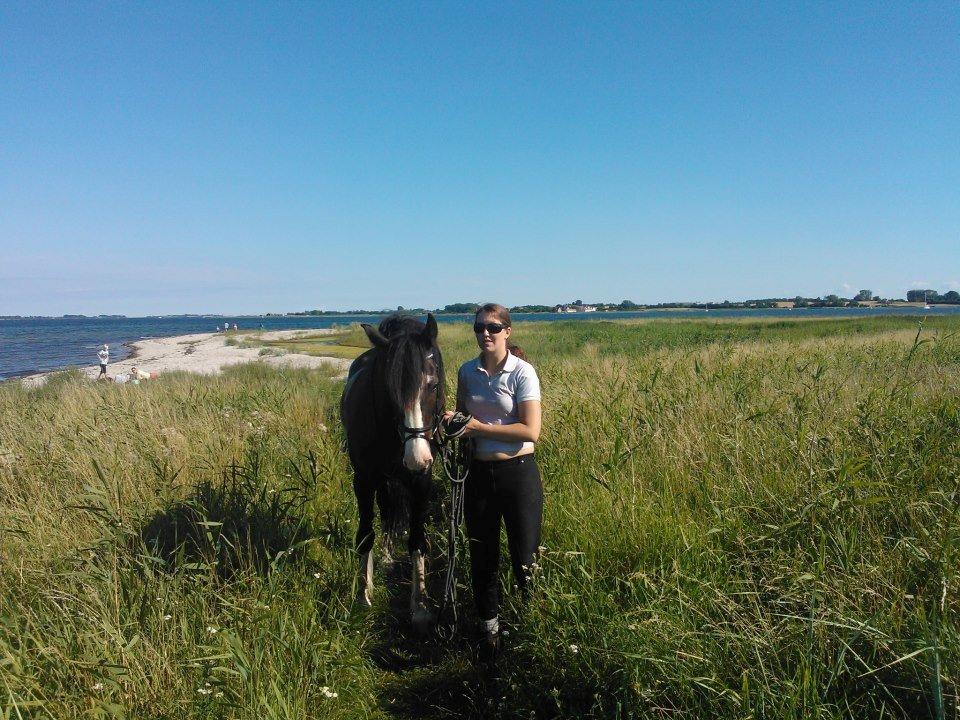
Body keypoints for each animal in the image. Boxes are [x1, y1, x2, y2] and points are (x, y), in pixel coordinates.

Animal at [340, 312, 444, 632]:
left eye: (433, 385)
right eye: (390, 390)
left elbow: (417, 539)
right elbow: (365, 534)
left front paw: (420, 605)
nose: (416, 457)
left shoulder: (422, 481)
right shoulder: (363, 481)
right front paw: (363, 594)